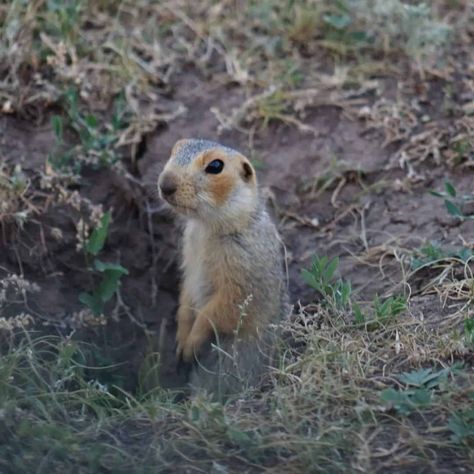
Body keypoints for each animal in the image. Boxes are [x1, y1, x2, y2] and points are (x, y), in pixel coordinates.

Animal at [157, 140, 286, 396]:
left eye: (215, 166)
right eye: (174, 149)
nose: (165, 184)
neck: (207, 227)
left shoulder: (241, 269)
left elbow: (221, 309)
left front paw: (190, 343)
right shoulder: (190, 256)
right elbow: (186, 297)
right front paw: (181, 337)